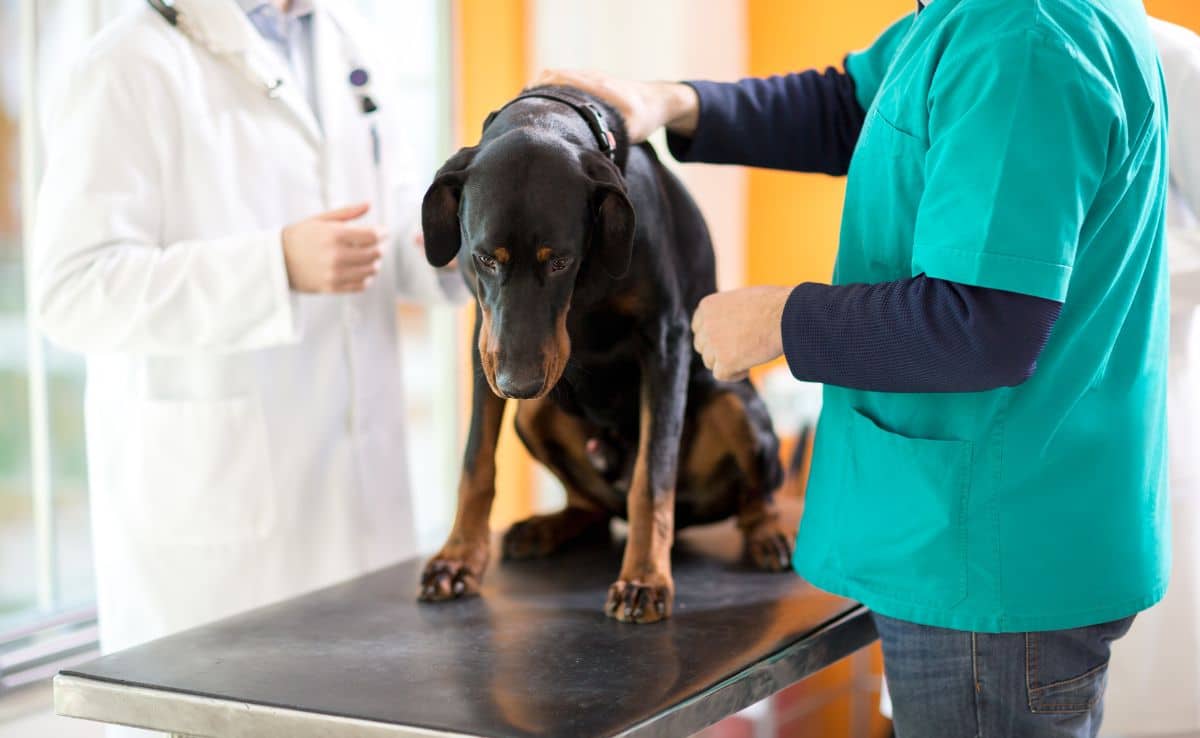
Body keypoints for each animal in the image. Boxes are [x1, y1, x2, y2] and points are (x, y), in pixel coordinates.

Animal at [417, 86, 792, 624]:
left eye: (561, 260)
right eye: (486, 258)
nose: (517, 385)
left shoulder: (665, 338)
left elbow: (652, 479)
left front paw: (644, 578)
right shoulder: (484, 340)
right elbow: (476, 461)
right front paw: (459, 557)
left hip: (731, 401)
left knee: (752, 495)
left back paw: (767, 531)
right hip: (535, 414)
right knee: (590, 507)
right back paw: (548, 527)